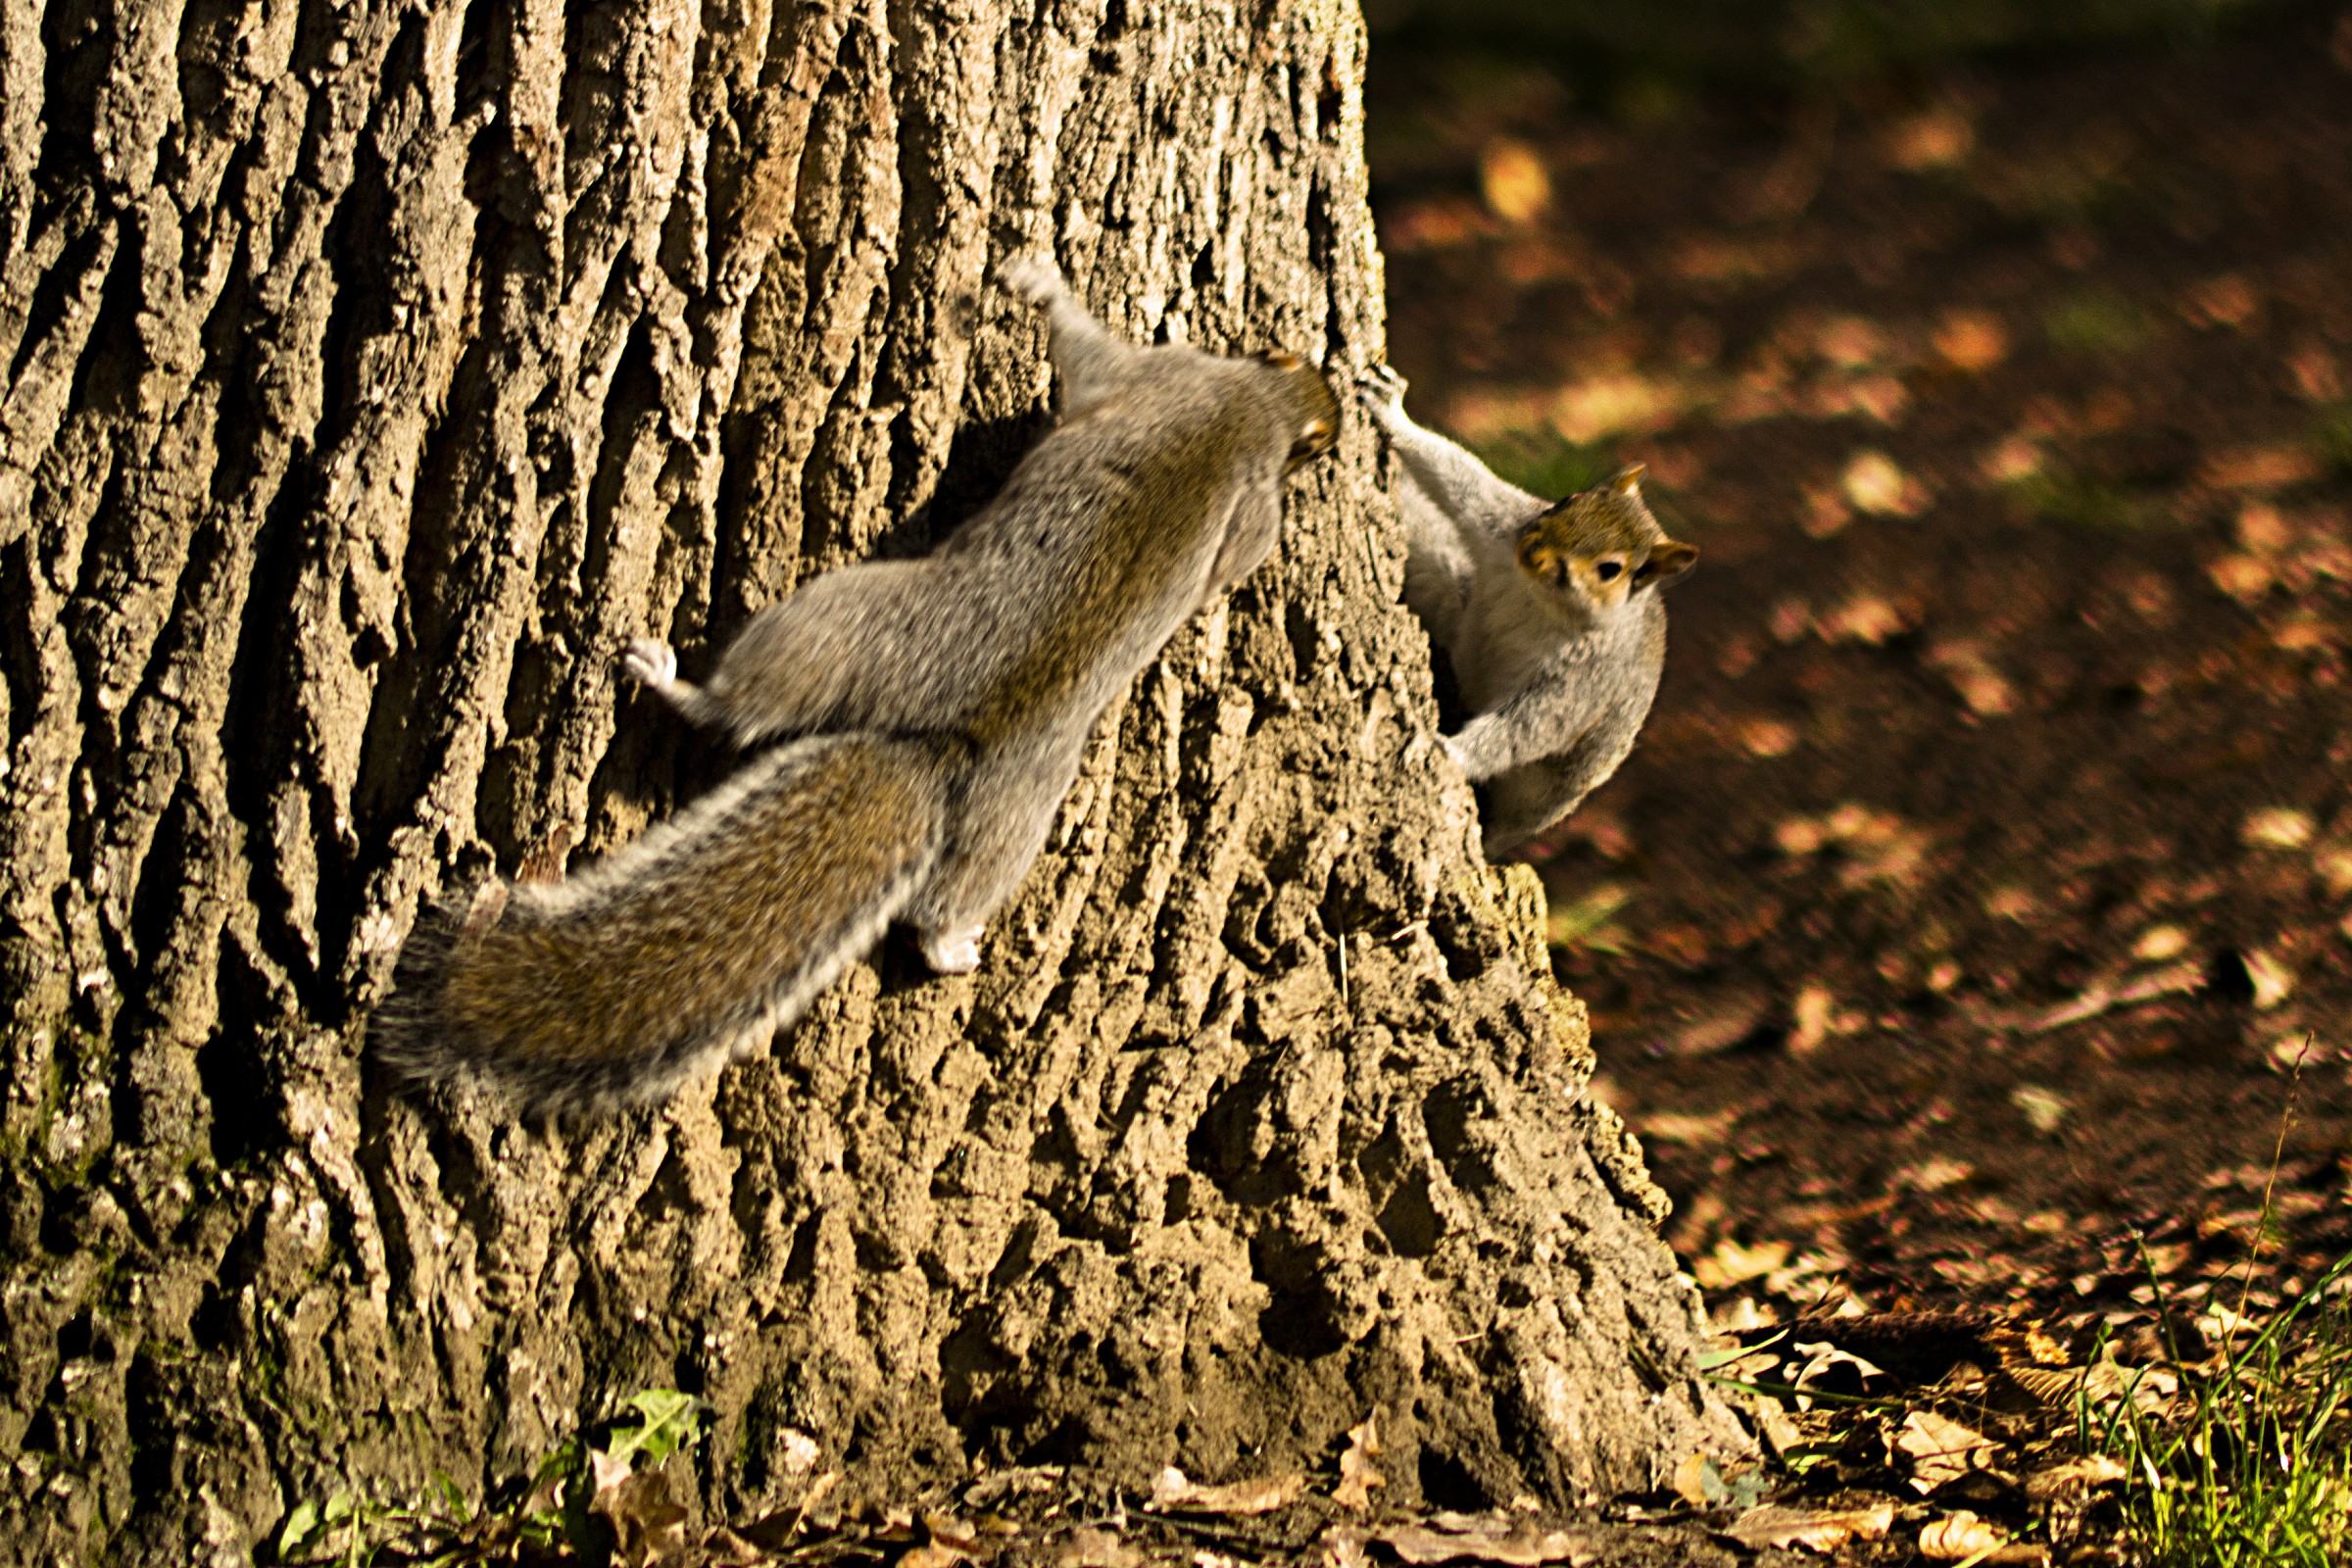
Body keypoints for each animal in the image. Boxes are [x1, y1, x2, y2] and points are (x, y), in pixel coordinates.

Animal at [379, 258, 1338, 1113]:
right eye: (1296, 363)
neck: (1263, 413)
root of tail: (936, 750)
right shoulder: (1251, 509)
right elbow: (1227, 555)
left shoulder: (1155, 375)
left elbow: (1088, 354)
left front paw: (1041, 286)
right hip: (1017, 815)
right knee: (961, 885)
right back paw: (956, 943)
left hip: (837, 622)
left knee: (750, 707)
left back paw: (672, 681)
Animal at [1357, 364, 1697, 858]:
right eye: (1570, 500)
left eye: (1610, 570)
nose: (1534, 551)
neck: (1539, 597)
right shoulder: (1502, 524)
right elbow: (1457, 476)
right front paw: (1393, 414)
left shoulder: (1587, 678)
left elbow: (1531, 726)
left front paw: (1448, 752)